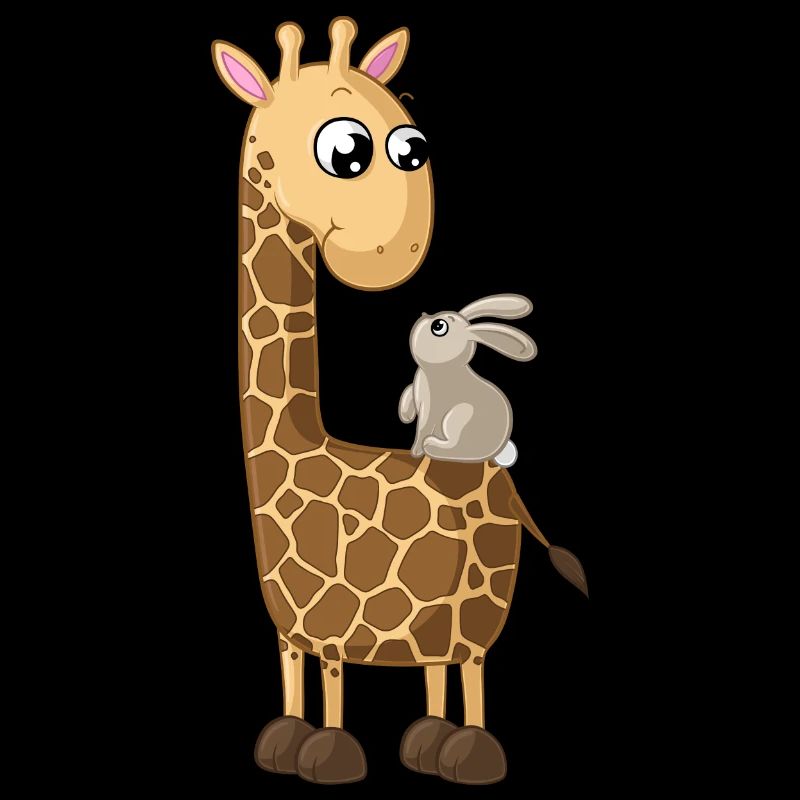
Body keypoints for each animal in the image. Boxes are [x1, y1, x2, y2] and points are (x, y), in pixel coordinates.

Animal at [212, 18, 588, 785]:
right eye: (347, 150)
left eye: (413, 146)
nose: (401, 252)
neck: (304, 446)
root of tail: (505, 481)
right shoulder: (289, 625)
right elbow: (295, 674)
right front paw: (283, 743)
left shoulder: (333, 619)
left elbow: (333, 678)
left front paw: (329, 756)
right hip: (438, 612)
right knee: (436, 665)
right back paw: (426, 741)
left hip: (483, 595)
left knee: (470, 662)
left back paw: (468, 753)